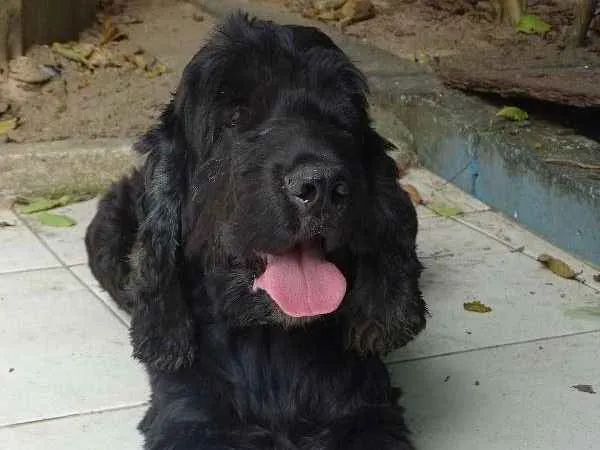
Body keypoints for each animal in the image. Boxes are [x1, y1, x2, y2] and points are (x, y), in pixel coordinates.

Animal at [85, 13, 427, 449]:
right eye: (233, 118)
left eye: (342, 118)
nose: (321, 185)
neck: (272, 342)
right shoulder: (190, 418)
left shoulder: (367, 413)